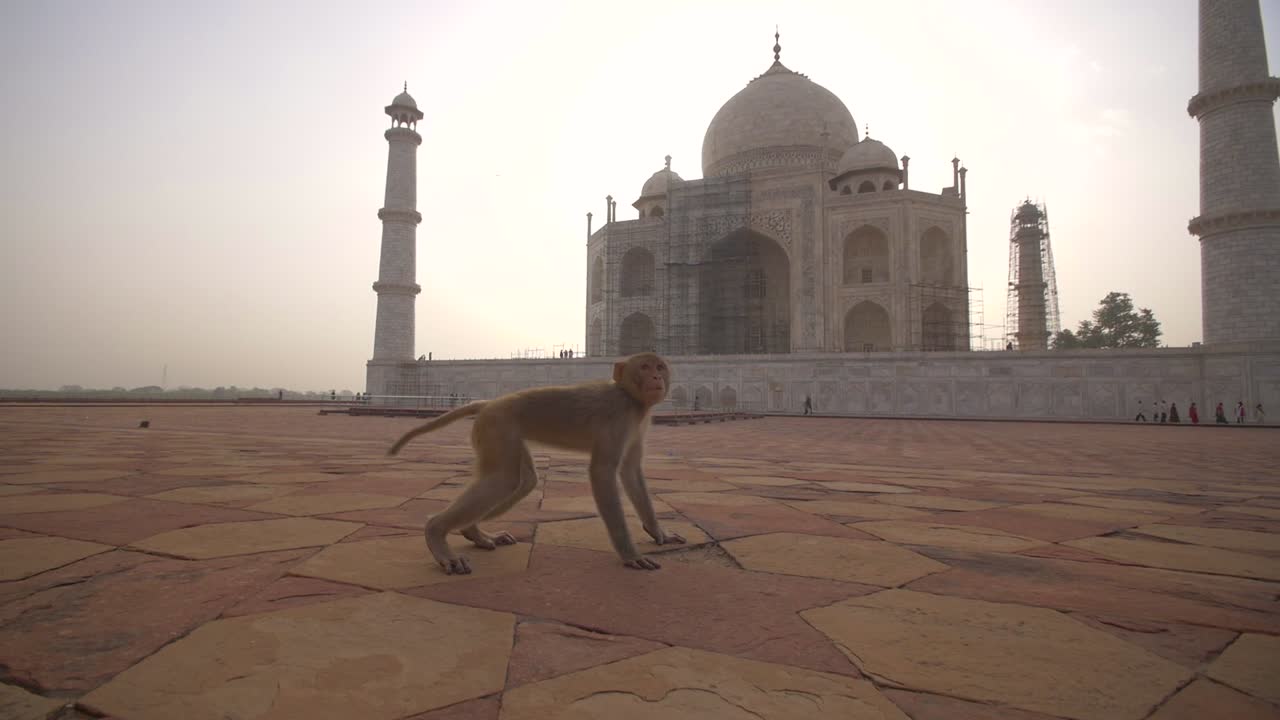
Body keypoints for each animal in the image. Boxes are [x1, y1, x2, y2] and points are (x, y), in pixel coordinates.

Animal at [388, 352, 686, 574]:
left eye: (660, 366)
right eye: (644, 367)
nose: (656, 377)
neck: (631, 398)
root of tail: (489, 403)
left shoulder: (637, 424)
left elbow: (631, 472)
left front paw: (657, 531)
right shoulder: (619, 416)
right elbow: (603, 473)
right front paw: (630, 554)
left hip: (503, 433)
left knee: (522, 481)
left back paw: (474, 532)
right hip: (497, 427)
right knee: (504, 479)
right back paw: (437, 533)